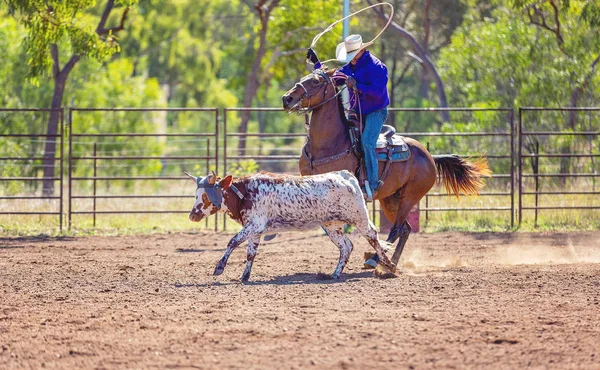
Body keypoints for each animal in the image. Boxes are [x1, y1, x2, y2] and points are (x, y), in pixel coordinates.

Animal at [185, 170, 396, 280]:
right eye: (196, 195)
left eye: (205, 196)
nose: (192, 215)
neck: (245, 192)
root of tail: (346, 176)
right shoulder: (256, 230)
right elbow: (251, 253)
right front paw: (245, 276)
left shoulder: (254, 226)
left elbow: (232, 242)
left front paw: (219, 267)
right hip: (331, 225)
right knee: (346, 246)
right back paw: (335, 273)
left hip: (359, 218)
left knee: (373, 237)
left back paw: (389, 265)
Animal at [284, 68, 490, 266]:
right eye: (303, 77)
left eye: (316, 81)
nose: (287, 98)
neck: (329, 143)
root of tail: (430, 156)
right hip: (391, 199)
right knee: (405, 229)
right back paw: (392, 260)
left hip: (410, 196)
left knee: (398, 228)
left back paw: (377, 260)